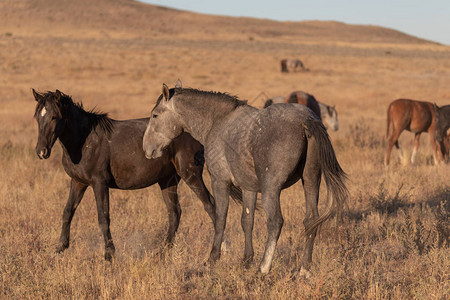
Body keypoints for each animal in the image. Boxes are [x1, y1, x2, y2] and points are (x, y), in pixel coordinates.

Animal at [32, 89, 215, 260]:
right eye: (37, 118)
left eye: (54, 117)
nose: (41, 152)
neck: (84, 142)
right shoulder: (78, 182)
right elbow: (68, 212)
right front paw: (59, 248)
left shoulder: (99, 183)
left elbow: (103, 217)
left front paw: (109, 254)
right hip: (167, 180)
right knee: (174, 213)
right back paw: (162, 253)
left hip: (191, 175)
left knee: (210, 206)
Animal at [144, 81, 348, 276]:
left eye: (155, 115)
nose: (146, 148)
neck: (218, 121)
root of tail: (305, 120)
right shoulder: (248, 187)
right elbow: (247, 220)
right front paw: (246, 260)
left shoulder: (219, 181)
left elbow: (220, 218)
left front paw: (213, 258)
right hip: (311, 181)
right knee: (311, 220)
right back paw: (304, 269)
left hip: (271, 190)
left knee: (275, 222)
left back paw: (264, 268)